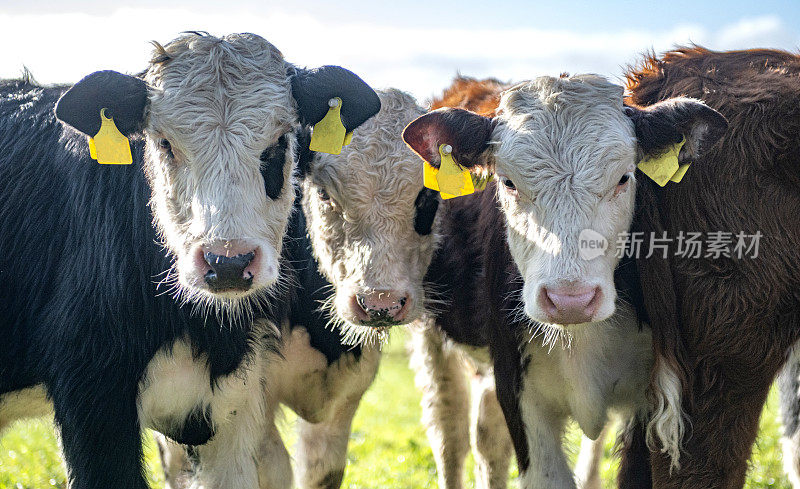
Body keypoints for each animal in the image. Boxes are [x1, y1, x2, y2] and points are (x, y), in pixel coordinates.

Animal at [0, 31, 380, 488]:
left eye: (278, 143)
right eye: (164, 144)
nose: (228, 263)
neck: (205, 332)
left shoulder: (238, 403)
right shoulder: (91, 395)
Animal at [404, 73, 728, 488]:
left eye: (624, 178)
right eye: (507, 182)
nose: (570, 300)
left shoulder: (650, 397)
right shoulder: (518, 390)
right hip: (430, 337)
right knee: (450, 433)